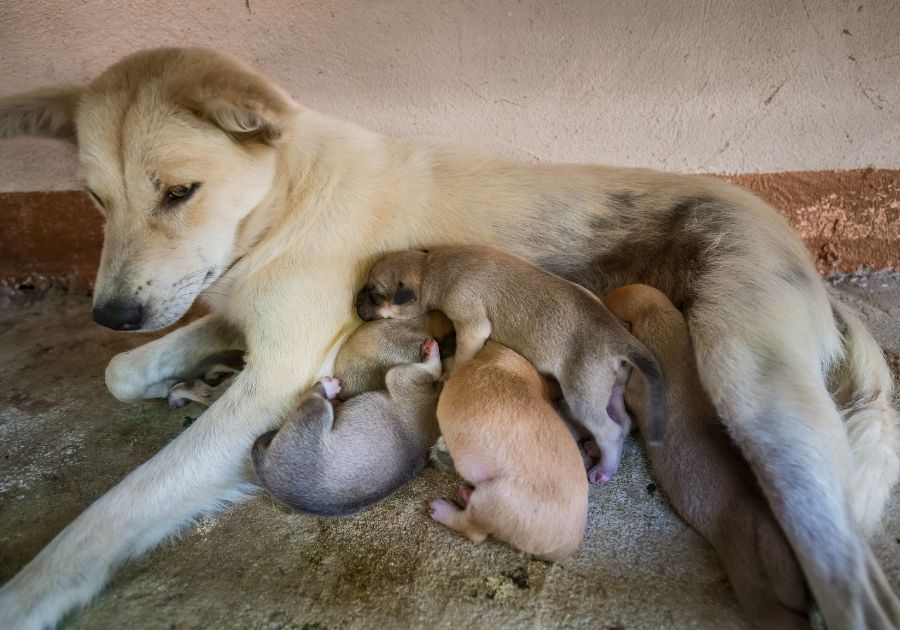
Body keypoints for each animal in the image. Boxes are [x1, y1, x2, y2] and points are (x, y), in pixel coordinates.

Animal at [360, 244, 668, 486]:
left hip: (584, 395)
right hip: (611, 388)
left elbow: (462, 355)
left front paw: (450, 373)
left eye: (375, 294)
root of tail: (618, 337)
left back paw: (604, 468)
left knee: (610, 432)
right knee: (623, 421)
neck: (430, 268)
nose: (355, 302)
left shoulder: (472, 328)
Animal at [430, 340, 592, 564]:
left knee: (473, 530)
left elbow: (444, 369)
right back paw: (464, 494)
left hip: (496, 499)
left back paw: (439, 508)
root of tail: (564, 550)